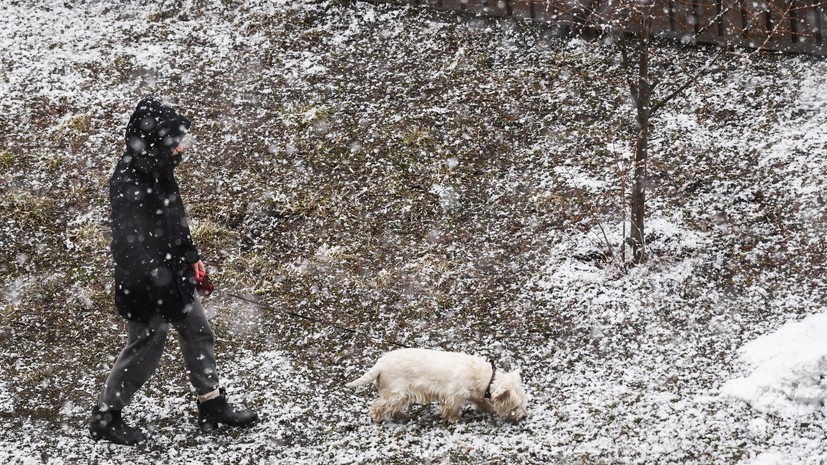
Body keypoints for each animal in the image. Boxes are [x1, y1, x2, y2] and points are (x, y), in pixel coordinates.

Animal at [346, 346, 528, 422]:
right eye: (516, 405)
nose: (524, 416)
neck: (486, 379)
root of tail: (380, 364)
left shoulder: (477, 395)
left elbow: (483, 403)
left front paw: (490, 410)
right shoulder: (453, 395)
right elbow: (452, 408)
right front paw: (455, 419)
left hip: (400, 394)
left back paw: (401, 415)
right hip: (395, 392)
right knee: (380, 405)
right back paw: (377, 418)